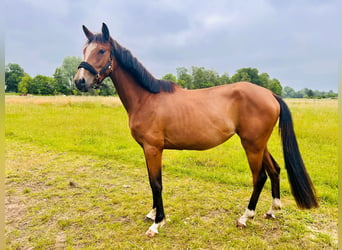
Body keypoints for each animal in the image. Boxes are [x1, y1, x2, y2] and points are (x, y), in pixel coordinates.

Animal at [74, 23, 318, 236]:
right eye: (85, 50)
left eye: (102, 51)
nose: (79, 81)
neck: (146, 98)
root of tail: (270, 94)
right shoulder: (146, 149)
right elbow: (151, 182)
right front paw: (152, 213)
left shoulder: (153, 148)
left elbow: (157, 183)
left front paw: (157, 223)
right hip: (259, 144)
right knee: (274, 169)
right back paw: (272, 210)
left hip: (252, 146)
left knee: (259, 177)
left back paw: (245, 217)